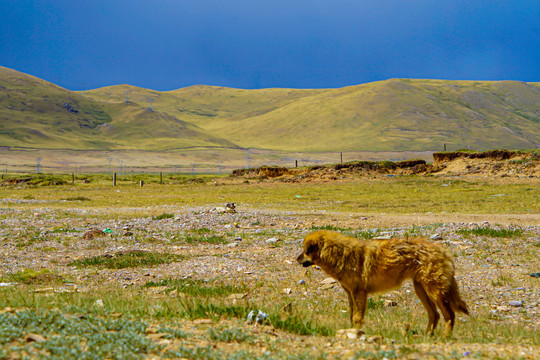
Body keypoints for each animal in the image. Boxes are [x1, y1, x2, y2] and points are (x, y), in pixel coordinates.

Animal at [296, 231, 468, 334]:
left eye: (305, 250)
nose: (296, 259)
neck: (340, 254)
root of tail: (444, 251)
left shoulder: (360, 293)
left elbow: (357, 318)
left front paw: (357, 335)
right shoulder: (350, 294)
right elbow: (352, 317)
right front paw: (351, 333)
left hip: (435, 292)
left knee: (449, 316)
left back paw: (443, 338)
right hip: (421, 290)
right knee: (435, 315)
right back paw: (426, 337)